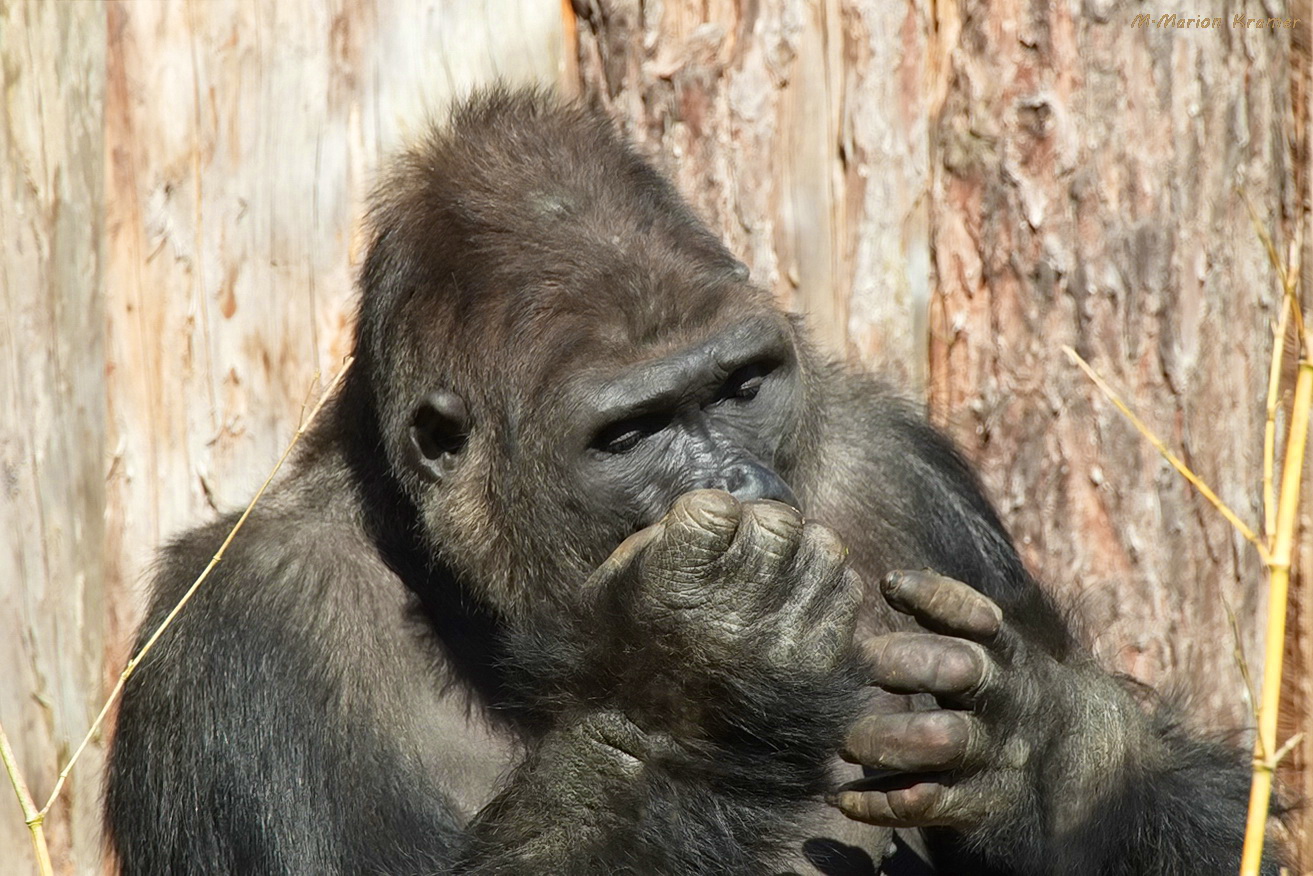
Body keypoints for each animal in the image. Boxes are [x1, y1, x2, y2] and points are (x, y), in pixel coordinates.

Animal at [107, 89, 1276, 876]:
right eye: (627, 435)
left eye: (740, 385)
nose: (738, 484)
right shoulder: (240, 623)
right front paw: (697, 681)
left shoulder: (897, 468)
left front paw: (1046, 758)